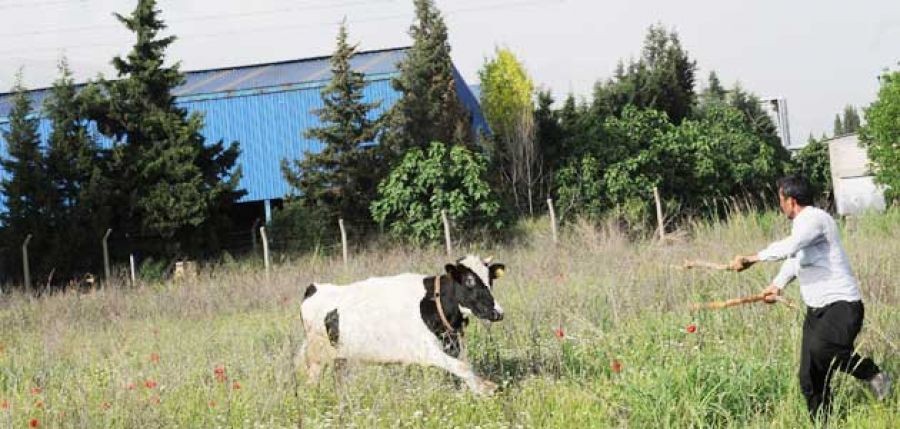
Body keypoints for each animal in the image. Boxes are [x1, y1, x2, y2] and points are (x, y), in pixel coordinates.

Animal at [298, 254, 502, 394]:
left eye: (490, 279)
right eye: (469, 281)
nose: (497, 312)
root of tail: (314, 287)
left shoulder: (451, 345)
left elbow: (462, 366)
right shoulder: (426, 350)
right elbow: (462, 367)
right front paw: (485, 389)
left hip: (340, 356)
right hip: (316, 358)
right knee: (312, 383)